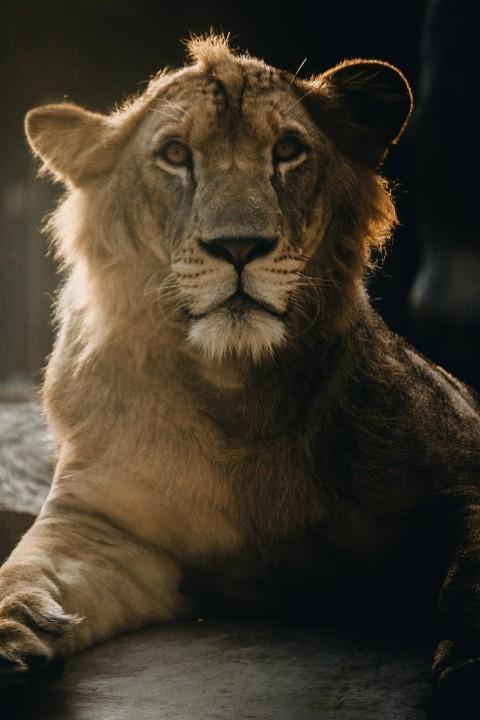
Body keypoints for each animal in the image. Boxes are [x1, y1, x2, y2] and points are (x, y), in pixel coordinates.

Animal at [1, 32, 479, 717]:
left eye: (287, 150)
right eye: (176, 154)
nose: (238, 247)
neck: (235, 393)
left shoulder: (458, 470)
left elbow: (471, 573)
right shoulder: (103, 527)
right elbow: (23, 567)